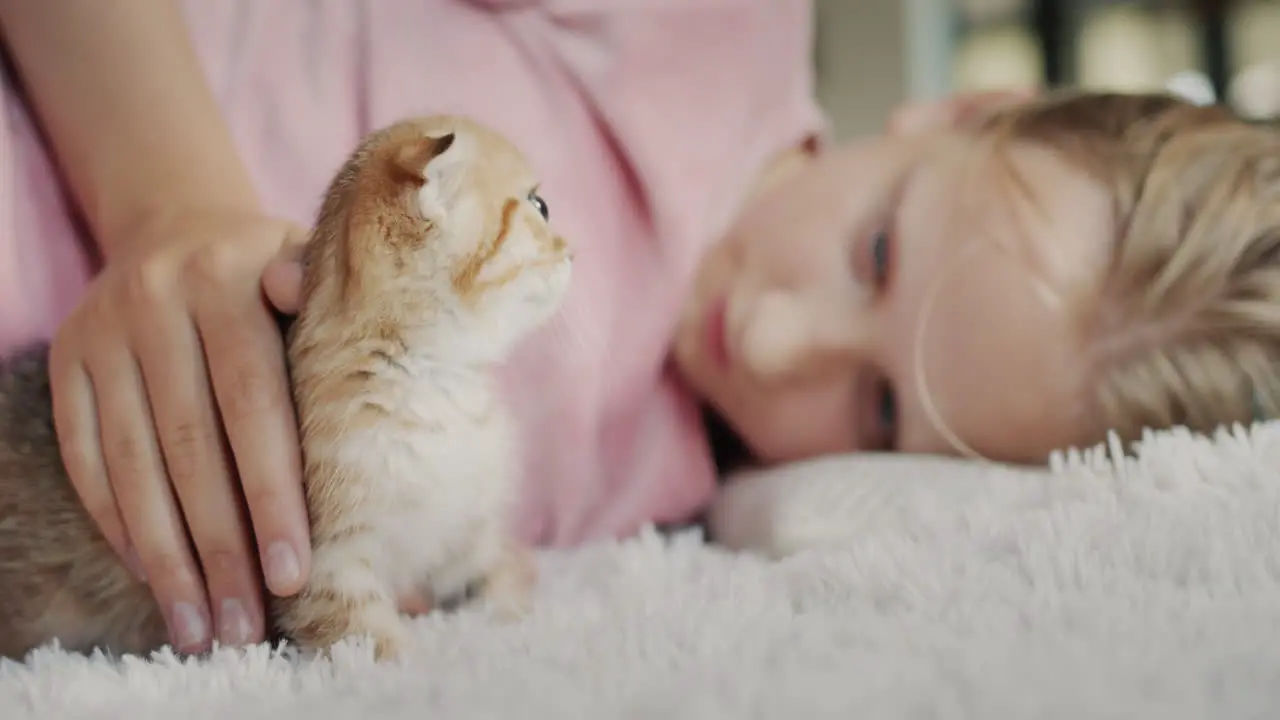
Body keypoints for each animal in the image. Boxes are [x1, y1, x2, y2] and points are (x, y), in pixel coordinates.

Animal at [0, 114, 576, 661]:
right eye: (540, 205)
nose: (572, 252)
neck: (434, 385)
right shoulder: (324, 565)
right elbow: (368, 639)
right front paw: (412, 666)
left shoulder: (462, 534)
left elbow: (491, 578)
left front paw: (517, 609)